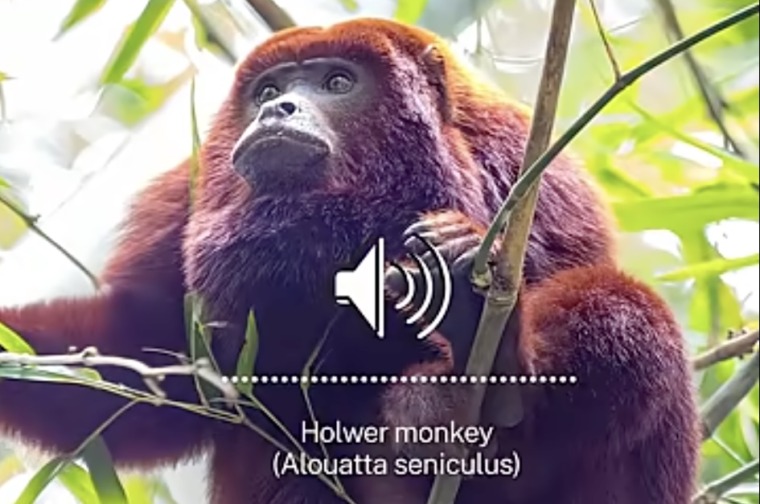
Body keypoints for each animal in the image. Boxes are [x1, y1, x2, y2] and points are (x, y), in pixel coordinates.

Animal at [0, 18, 699, 504]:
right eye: (270, 88)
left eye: (338, 82)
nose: (276, 108)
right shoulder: (186, 199)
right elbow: (151, 363)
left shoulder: (531, 177)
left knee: (628, 312)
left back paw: (491, 370)